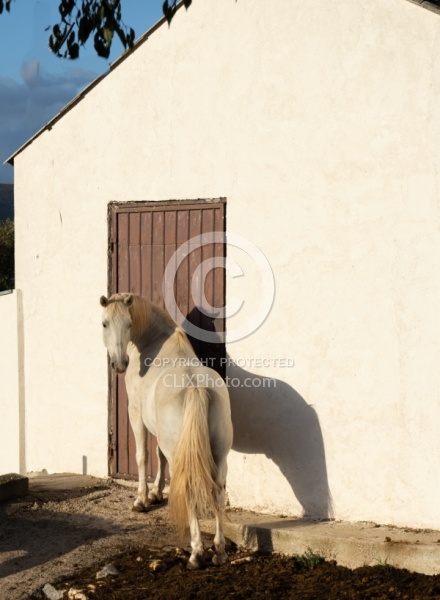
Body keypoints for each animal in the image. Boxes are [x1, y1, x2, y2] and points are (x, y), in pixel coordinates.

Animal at [99, 292, 234, 568]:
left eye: (128, 323)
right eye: (105, 324)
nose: (119, 364)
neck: (155, 344)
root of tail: (196, 387)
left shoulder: (136, 413)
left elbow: (143, 456)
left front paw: (142, 500)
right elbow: (158, 456)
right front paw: (156, 493)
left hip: (181, 453)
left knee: (190, 488)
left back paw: (196, 552)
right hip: (219, 455)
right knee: (217, 490)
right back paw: (219, 550)